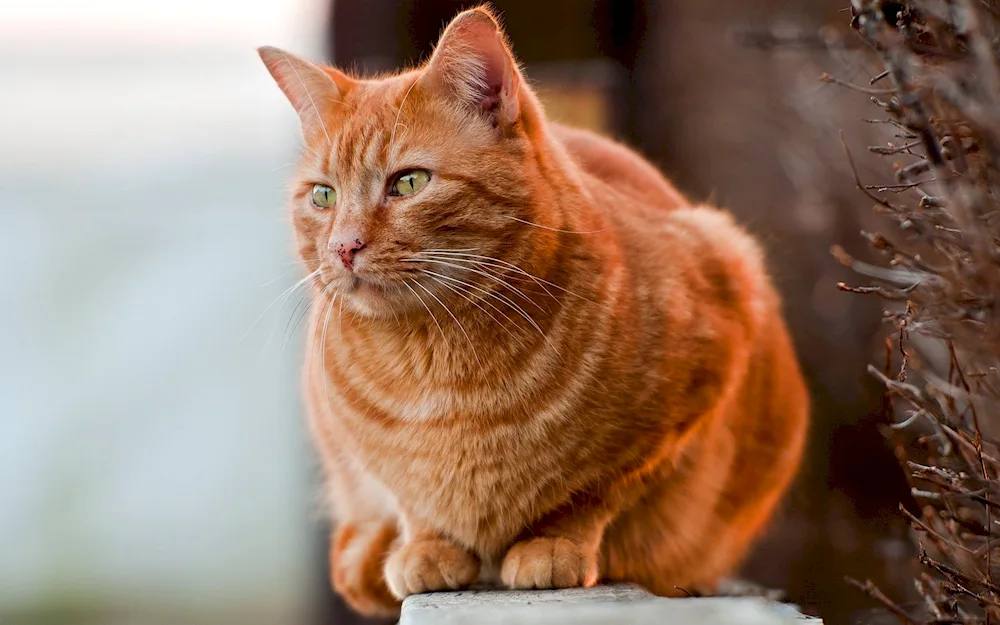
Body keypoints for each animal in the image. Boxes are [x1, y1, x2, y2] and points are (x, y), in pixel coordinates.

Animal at [260, 6, 812, 620]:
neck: (439, 362)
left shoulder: (701, 359)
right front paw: (428, 546)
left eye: (408, 182)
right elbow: (411, 499)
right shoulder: (354, 446)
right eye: (323, 196)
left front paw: (553, 542)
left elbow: (593, 491)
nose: (343, 247)